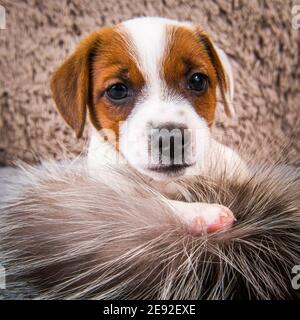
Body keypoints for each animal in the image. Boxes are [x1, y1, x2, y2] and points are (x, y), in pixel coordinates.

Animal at [49, 16, 246, 235]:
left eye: (197, 80)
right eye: (117, 90)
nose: (171, 139)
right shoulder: (109, 190)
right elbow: (152, 202)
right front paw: (201, 212)